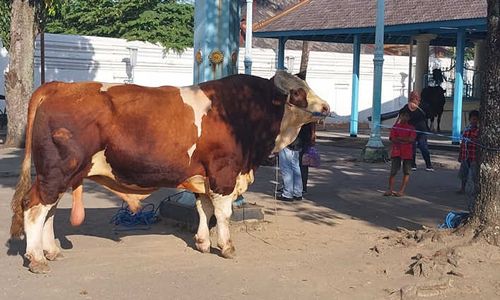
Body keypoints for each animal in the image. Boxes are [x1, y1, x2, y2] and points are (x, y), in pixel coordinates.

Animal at [9, 71, 330, 274]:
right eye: (299, 93)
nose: (327, 107)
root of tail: (59, 86)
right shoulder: (224, 173)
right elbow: (222, 213)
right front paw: (226, 246)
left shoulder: (203, 177)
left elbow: (203, 209)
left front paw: (202, 243)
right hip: (56, 171)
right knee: (34, 208)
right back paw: (36, 258)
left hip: (60, 175)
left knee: (48, 211)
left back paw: (51, 250)